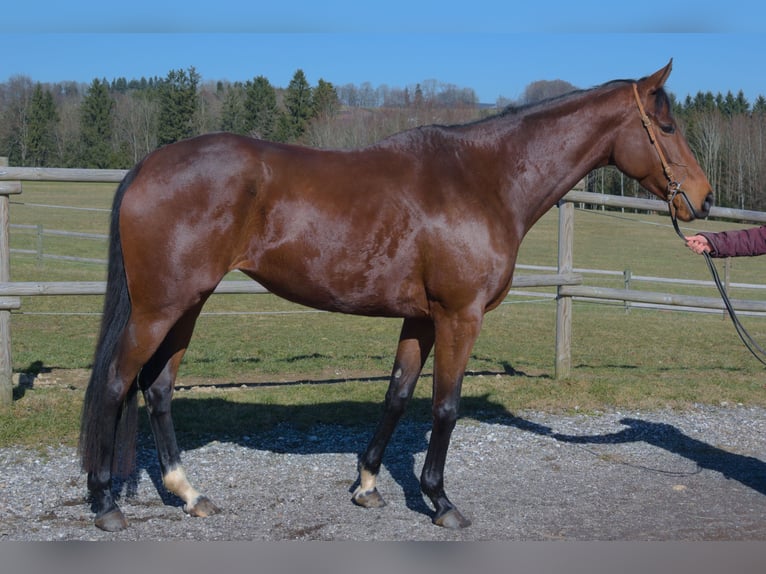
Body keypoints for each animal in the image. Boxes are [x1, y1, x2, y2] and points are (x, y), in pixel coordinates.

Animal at [79, 61, 713, 532]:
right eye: (669, 128)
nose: (703, 200)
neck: (482, 179)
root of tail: (147, 164)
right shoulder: (460, 317)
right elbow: (445, 406)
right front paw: (441, 501)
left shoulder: (423, 320)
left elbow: (397, 396)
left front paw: (366, 485)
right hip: (160, 308)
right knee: (115, 382)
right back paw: (106, 504)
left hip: (186, 305)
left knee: (158, 389)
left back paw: (189, 494)